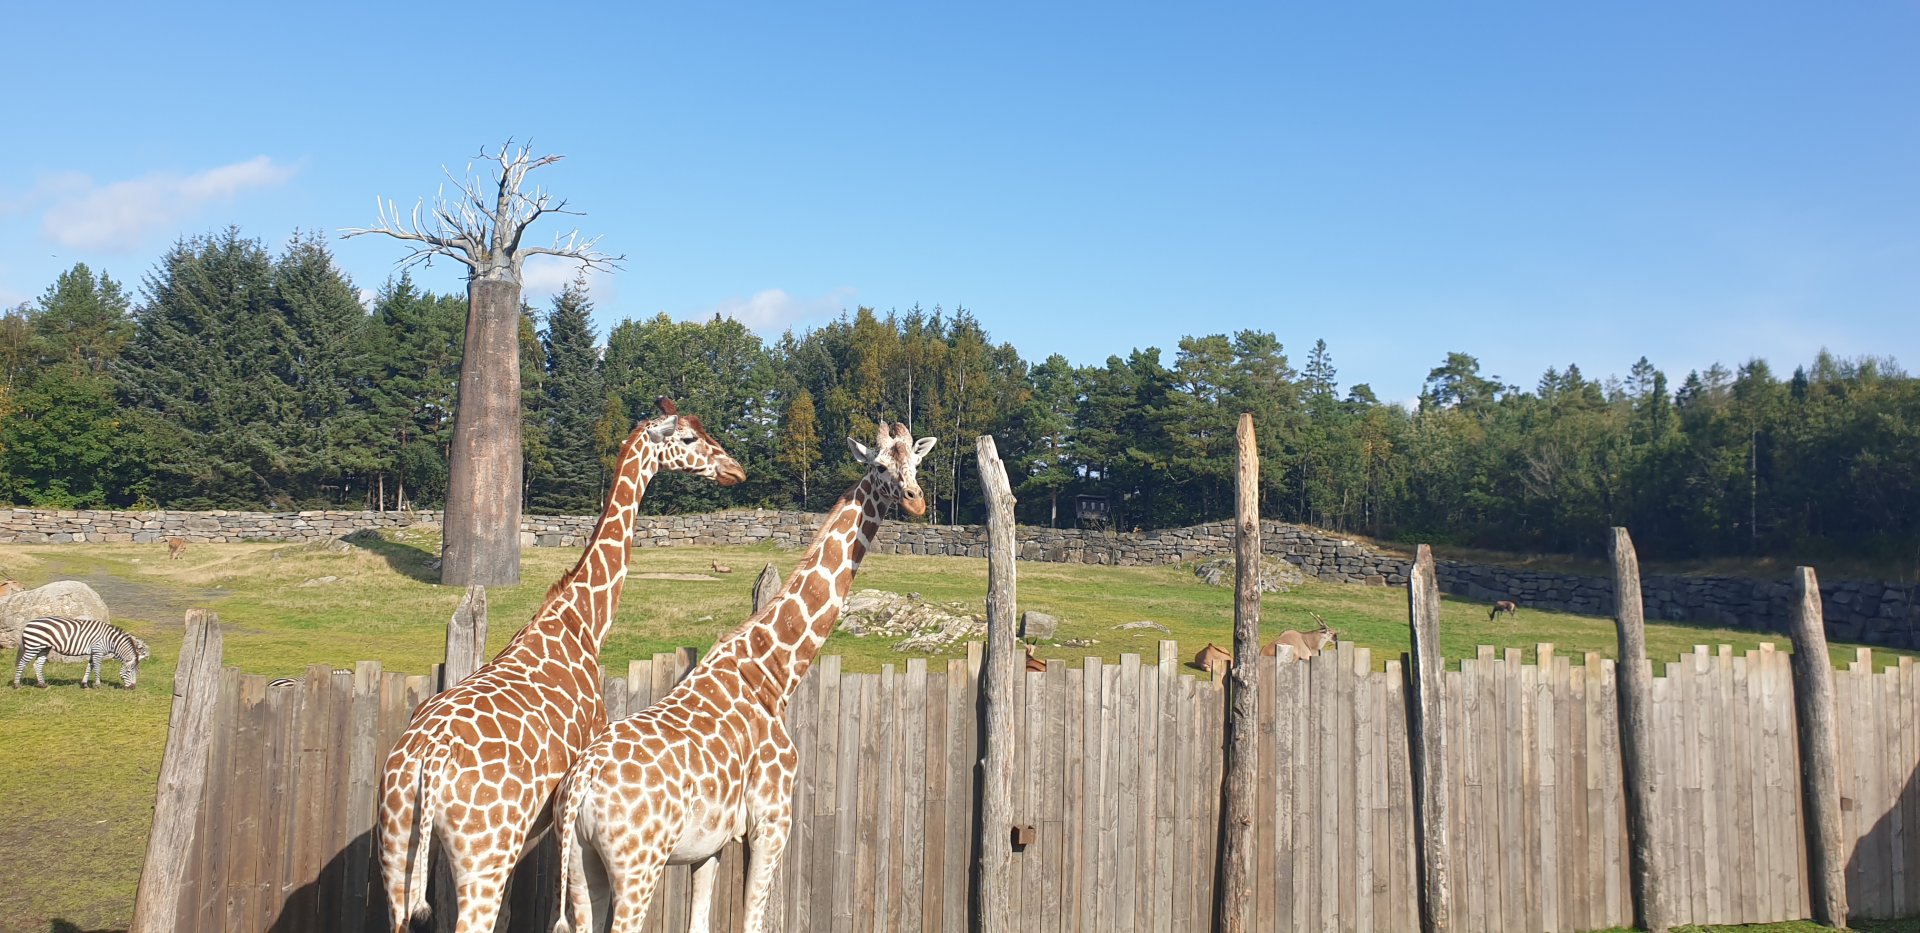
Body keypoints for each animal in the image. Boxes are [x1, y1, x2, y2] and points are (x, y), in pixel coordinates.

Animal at [376, 397, 746, 933]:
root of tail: (429, 759)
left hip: (396, 843)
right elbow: (564, 905)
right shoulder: (566, 793)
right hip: (483, 854)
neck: (583, 620)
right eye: (690, 438)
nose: (736, 470)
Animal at [549, 420, 936, 933]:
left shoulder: (710, 844)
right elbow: (752, 918)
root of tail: (581, 785)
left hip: (578, 863)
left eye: (915, 463)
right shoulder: (771, 821)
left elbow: (700, 919)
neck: (773, 672)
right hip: (638, 865)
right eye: (878, 467)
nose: (915, 501)